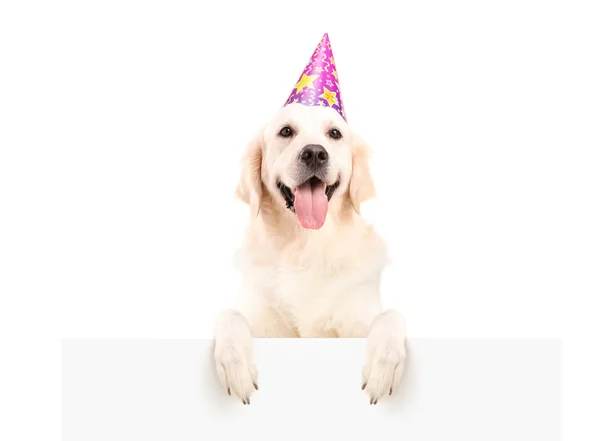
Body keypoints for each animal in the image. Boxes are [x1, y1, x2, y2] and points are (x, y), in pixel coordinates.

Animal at [212, 101, 408, 404]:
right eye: (286, 131)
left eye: (335, 133)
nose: (315, 153)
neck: (305, 247)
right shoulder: (263, 325)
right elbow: (228, 315)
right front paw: (234, 365)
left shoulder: (357, 321)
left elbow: (392, 316)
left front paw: (384, 365)